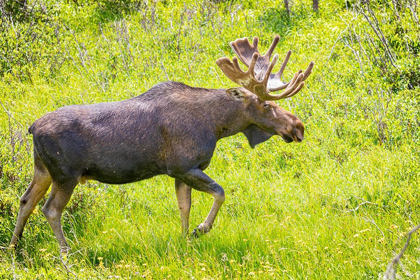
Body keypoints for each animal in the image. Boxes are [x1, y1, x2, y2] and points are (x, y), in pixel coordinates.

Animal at [10, 35, 312, 252]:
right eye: (265, 104)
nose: (298, 126)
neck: (217, 124)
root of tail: (32, 128)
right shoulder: (182, 166)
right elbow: (220, 193)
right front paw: (200, 230)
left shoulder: (183, 171)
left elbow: (184, 207)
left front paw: (185, 240)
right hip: (66, 174)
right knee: (50, 210)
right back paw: (66, 254)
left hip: (43, 170)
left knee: (25, 201)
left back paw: (15, 248)